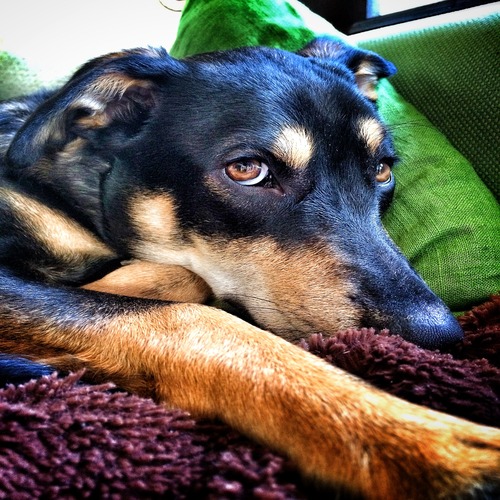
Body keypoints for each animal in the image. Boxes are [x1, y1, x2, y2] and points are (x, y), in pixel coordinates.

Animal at [0, 38, 498, 498]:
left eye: (381, 170)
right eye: (246, 169)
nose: (437, 335)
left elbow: (182, 278)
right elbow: (200, 319)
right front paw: (436, 446)